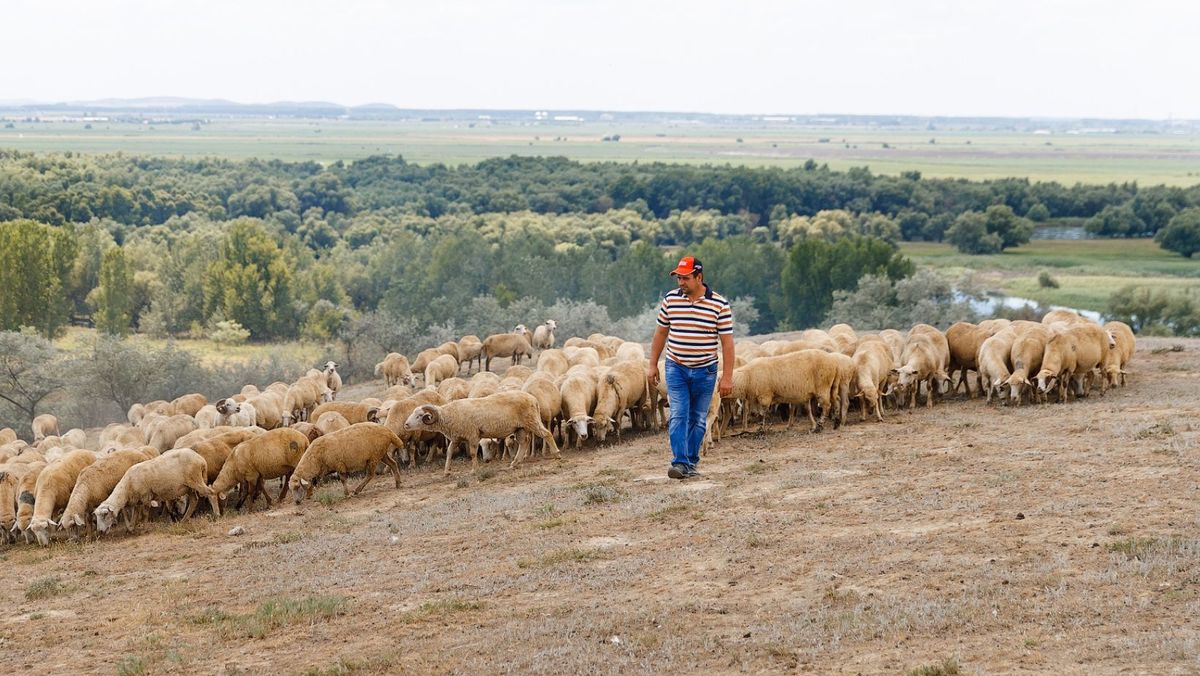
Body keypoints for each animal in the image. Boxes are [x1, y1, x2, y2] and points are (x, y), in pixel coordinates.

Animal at [400, 391, 554, 475]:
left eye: (420, 416)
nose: (406, 425)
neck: (449, 415)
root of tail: (534, 399)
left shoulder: (472, 435)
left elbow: (474, 453)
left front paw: (474, 470)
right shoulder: (456, 438)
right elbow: (449, 452)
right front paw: (446, 471)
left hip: (531, 420)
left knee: (547, 434)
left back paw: (556, 453)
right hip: (520, 428)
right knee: (524, 443)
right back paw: (515, 463)